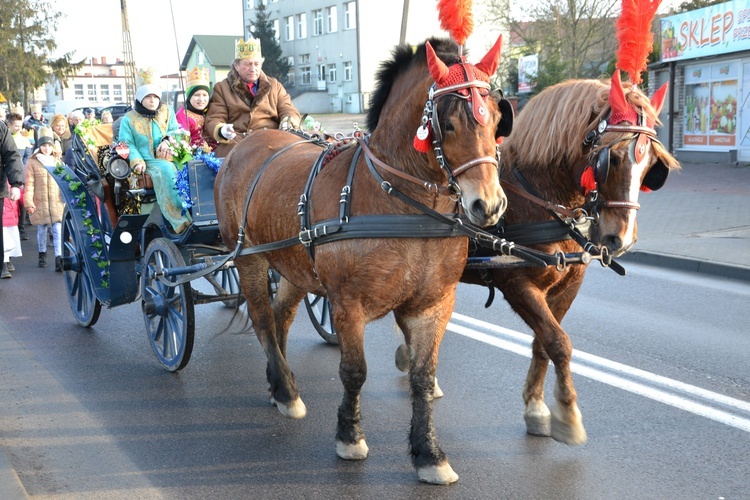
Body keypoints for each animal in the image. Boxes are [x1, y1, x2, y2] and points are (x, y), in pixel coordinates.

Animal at [216, 38, 512, 484]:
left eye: (496, 118)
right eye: (448, 124)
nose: (488, 205)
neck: (404, 205)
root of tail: (244, 143)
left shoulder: (433, 304)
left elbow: (423, 378)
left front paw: (429, 453)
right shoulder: (347, 303)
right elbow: (354, 371)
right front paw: (350, 436)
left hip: (294, 266)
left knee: (281, 315)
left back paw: (277, 380)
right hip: (249, 259)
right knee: (264, 320)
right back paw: (287, 391)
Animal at [462, 71, 684, 446]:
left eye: (652, 166)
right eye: (613, 159)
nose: (620, 238)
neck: (537, 198)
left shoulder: (568, 284)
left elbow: (543, 343)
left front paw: (536, 407)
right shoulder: (517, 283)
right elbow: (558, 342)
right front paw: (567, 414)